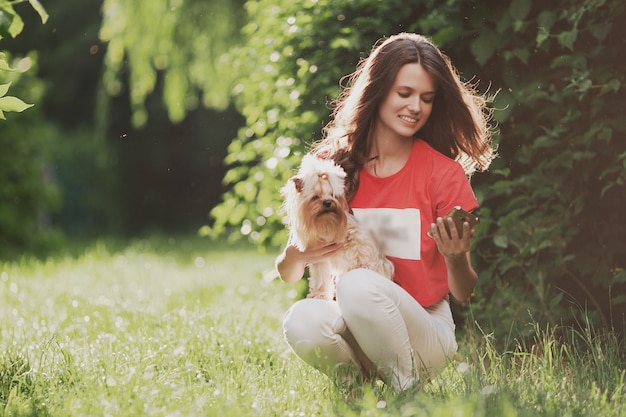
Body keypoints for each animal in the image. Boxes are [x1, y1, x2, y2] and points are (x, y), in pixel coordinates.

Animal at [280, 154, 392, 300]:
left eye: (333, 195)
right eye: (315, 197)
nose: (328, 202)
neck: (325, 221)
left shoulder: (358, 242)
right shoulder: (319, 259)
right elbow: (320, 278)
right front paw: (319, 295)